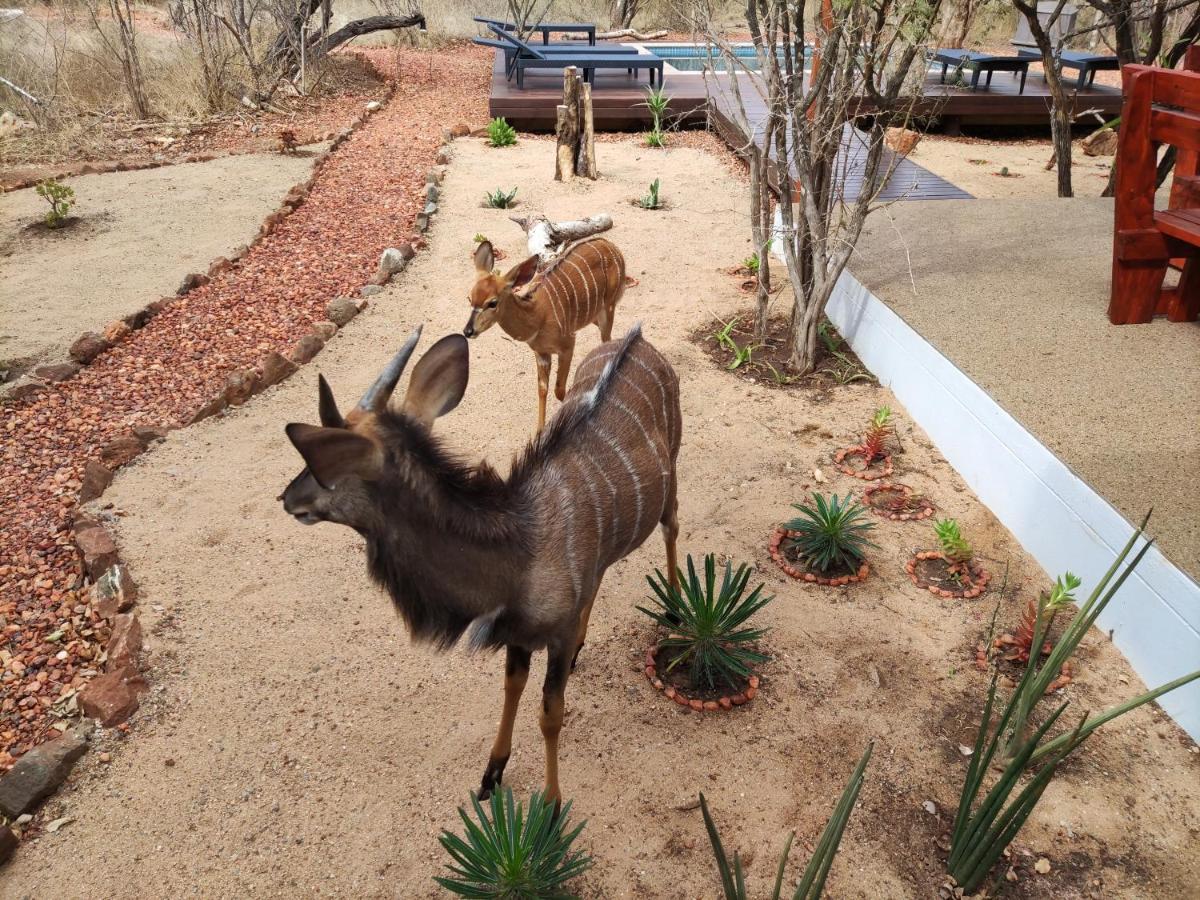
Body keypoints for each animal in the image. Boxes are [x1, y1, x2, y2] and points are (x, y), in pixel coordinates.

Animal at [276, 321, 681, 801]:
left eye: (324, 466)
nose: (287, 498)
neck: (517, 557)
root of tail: (639, 338)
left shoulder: (555, 635)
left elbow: (550, 714)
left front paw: (551, 804)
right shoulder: (519, 637)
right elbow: (512, 688)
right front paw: (492, 773)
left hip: (673, 474)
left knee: (672, 526)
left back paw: (677, 611)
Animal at [460, 236, 628, 434]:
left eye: (492, 302)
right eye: (470, 298)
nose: (468, 331)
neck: (536, 316)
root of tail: (610, 245)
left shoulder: (568, 345)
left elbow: (560, 390)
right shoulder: (541, 353)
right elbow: (542, 389)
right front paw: (539, 431)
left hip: (607, 309)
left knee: (606, 339)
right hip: (594, 315)